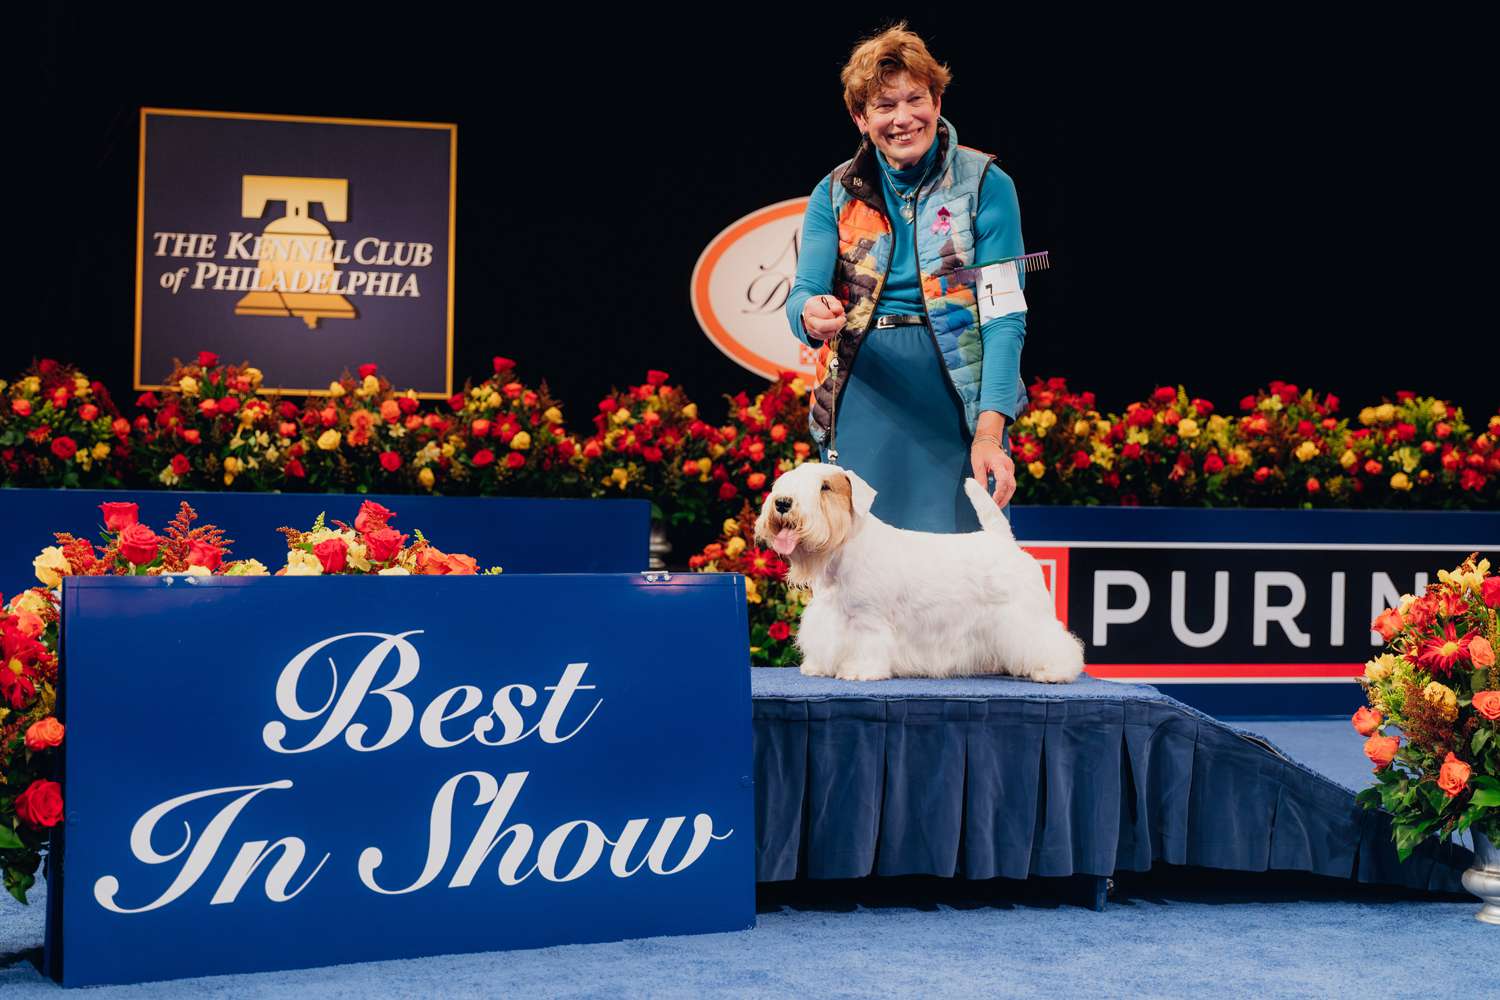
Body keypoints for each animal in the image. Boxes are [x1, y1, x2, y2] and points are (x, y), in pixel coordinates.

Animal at [756, 464, 1086, 683]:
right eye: (785, 482)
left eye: (825, 487)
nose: (783, 503)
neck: (845, 549)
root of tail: (1003, 540)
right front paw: (817, 666)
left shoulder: (868, 619)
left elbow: (867, 646)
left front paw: (859, 671)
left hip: (1023, 617)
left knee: (1050, 641)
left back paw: (1053, 671)